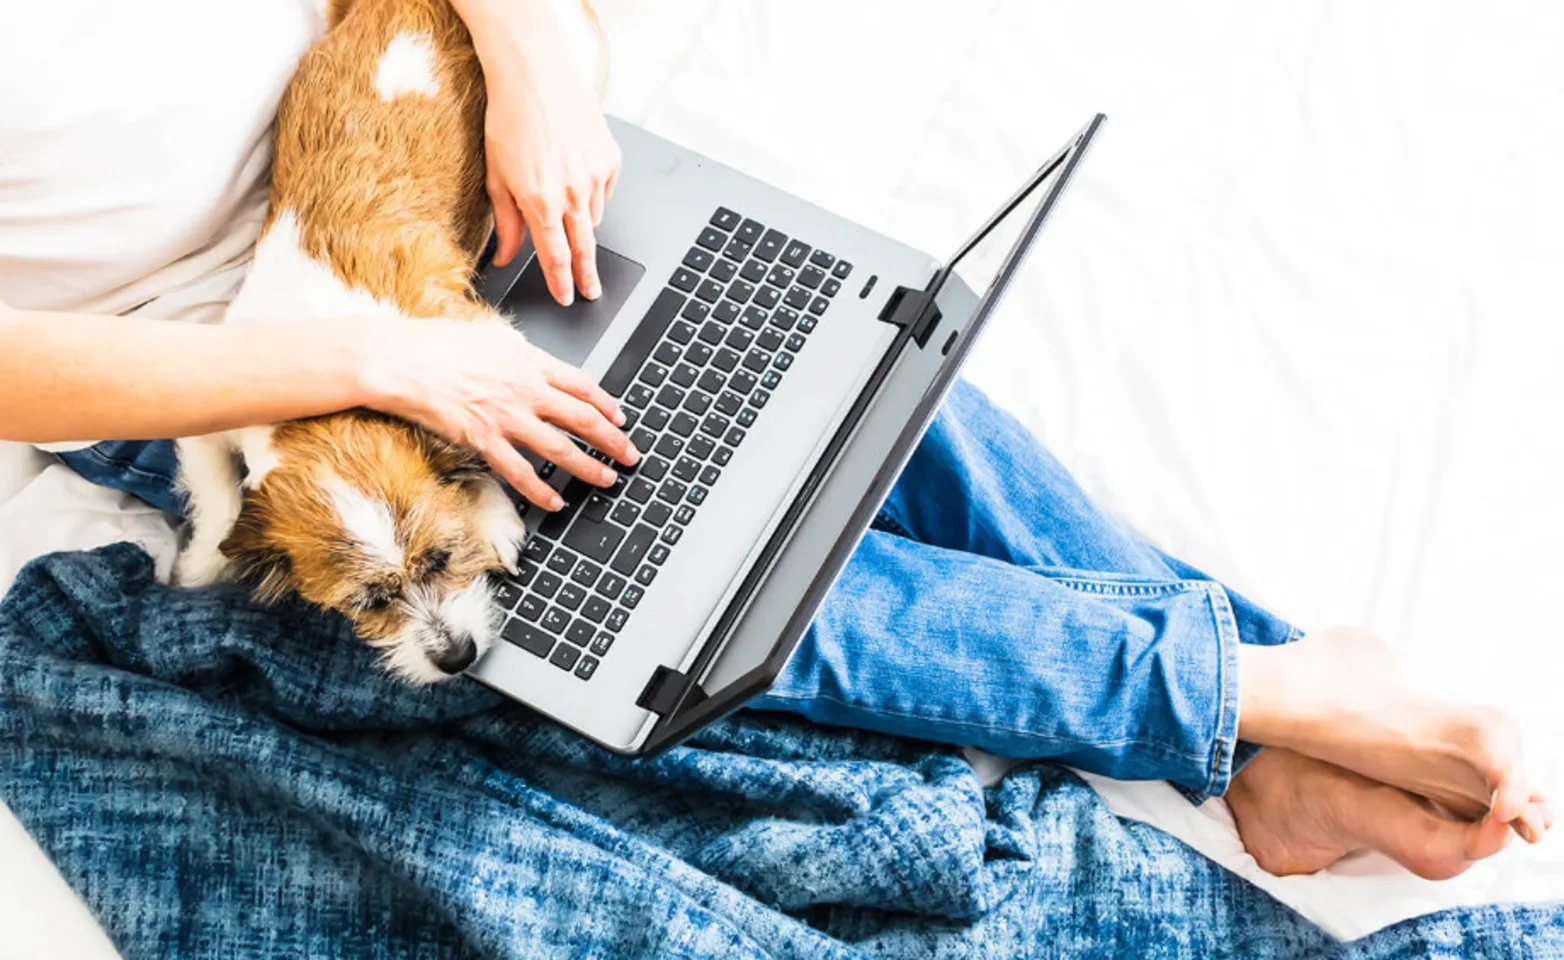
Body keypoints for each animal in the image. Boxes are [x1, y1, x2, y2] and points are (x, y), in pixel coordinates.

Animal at [177, 0, 603, 684]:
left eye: (442, 556)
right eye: (368, 602)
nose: (457, 658)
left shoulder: (477, 342)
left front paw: (491, 512)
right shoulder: (210, 415)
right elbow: (217, 497)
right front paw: (198, 565)